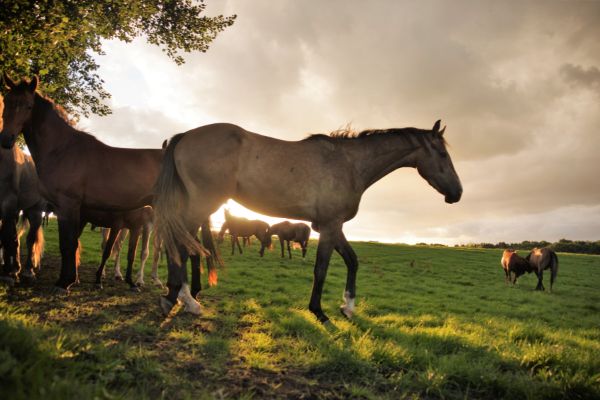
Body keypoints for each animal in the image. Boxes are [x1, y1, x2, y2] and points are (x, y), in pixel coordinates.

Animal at [0, 143, 44, 282]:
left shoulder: (8, 205)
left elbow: (7, 237)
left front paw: (8, 273)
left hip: (35, 211)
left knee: (30, 239)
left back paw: (27, 271)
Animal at [154, 119, 460, 322]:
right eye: (443, 153)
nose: (457, 193)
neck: (349, 164)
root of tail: (185, 135)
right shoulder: (330, 226)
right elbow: (321, 269)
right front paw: (319, 312)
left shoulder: (331, 225)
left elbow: (352, 261)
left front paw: (348, 307)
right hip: (201, 205)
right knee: (180, 248)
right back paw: (181, 299)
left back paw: (182, 296)